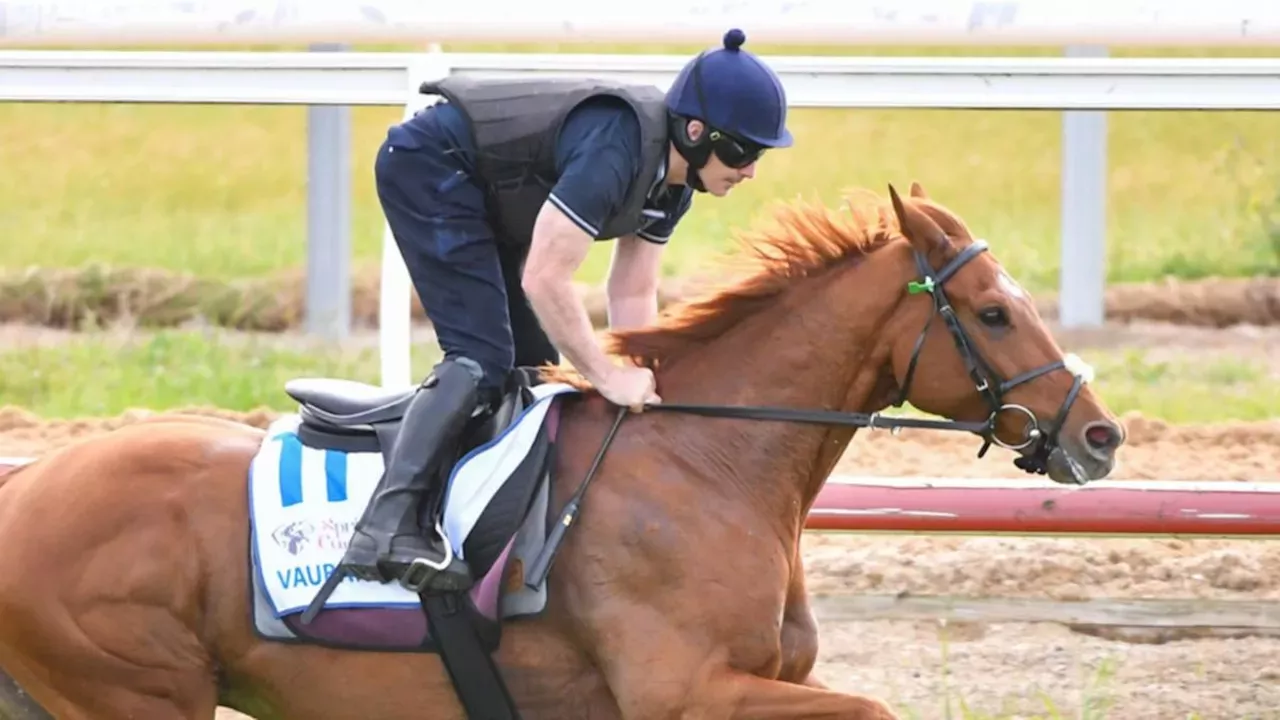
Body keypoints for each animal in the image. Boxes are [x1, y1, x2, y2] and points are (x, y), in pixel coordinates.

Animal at [0, 183, 1121, 717]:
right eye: (992, 311)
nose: (1099, 435)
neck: (708, 464)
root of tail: (28, 487)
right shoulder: (686, 693)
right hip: (138, 692)